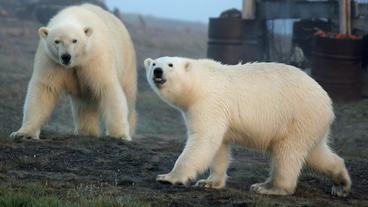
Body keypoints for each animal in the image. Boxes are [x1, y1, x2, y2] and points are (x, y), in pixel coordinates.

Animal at [10, 4, 137, 141]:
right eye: (57, 41)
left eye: (74, 40)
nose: (66, 56)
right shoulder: (52, 61)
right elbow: (44, 89)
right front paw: (22, 133)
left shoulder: (94, 58)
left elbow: (107, 88)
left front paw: (120, 135)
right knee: (84, 103)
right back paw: (85, 131)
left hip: (126, 61)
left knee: (128, 95)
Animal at [143, 56, 350, 197]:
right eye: (154, 64)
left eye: (170, 65)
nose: (158, 71)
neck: (200, 83)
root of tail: (327, 102)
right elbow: (219, 147)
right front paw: (209, 182)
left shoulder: (209, 102)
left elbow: (204, 139)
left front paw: (168, 177)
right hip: (309, 124)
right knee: (316, 153)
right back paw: (341, 183)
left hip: (297, 117)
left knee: (287, 154)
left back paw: (268, 187)